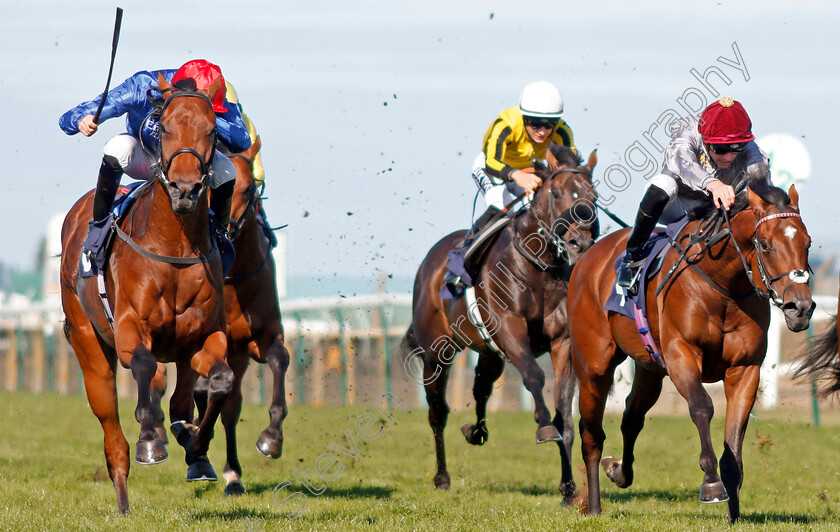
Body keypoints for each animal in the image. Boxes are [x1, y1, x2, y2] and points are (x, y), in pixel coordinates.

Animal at [60, 72, 233, 512]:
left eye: (212, 131)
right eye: (165, 127)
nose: (186, 190)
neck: (174, 248)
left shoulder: (205, 335)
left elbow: (221, 380)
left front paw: (197, 444)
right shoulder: (127, 327)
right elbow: (142, 366)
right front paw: (152, 439)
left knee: (178, 397)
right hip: (88, 343)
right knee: (113, 429)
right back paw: (124, 492)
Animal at [406, 145, 596, 502]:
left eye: (594, 196)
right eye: (558, 193)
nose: (580, 244)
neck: (540, 267)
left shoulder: (562, 341)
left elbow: (565, 412)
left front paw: (567, 488)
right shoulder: (510, 327)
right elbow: (534, 377)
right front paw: (543, 426)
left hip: (490, 352)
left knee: (480, 389)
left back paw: (475, 431)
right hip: (437, 352)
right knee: (437, 411)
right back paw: (442, 477)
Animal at [568, 183, 816, 524]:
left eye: (808, 243)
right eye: (765, 245)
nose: (800, 308)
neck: (723, 286)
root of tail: (587, 258)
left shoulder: (745, 368)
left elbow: (734, 433)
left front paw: (734, 514)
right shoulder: (681, 355)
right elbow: (701, 407)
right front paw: (711, 484)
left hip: (649, 368)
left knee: (632, 417)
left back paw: (618, 471)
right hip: (594, 366)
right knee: (591, 433)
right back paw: (593, 506)